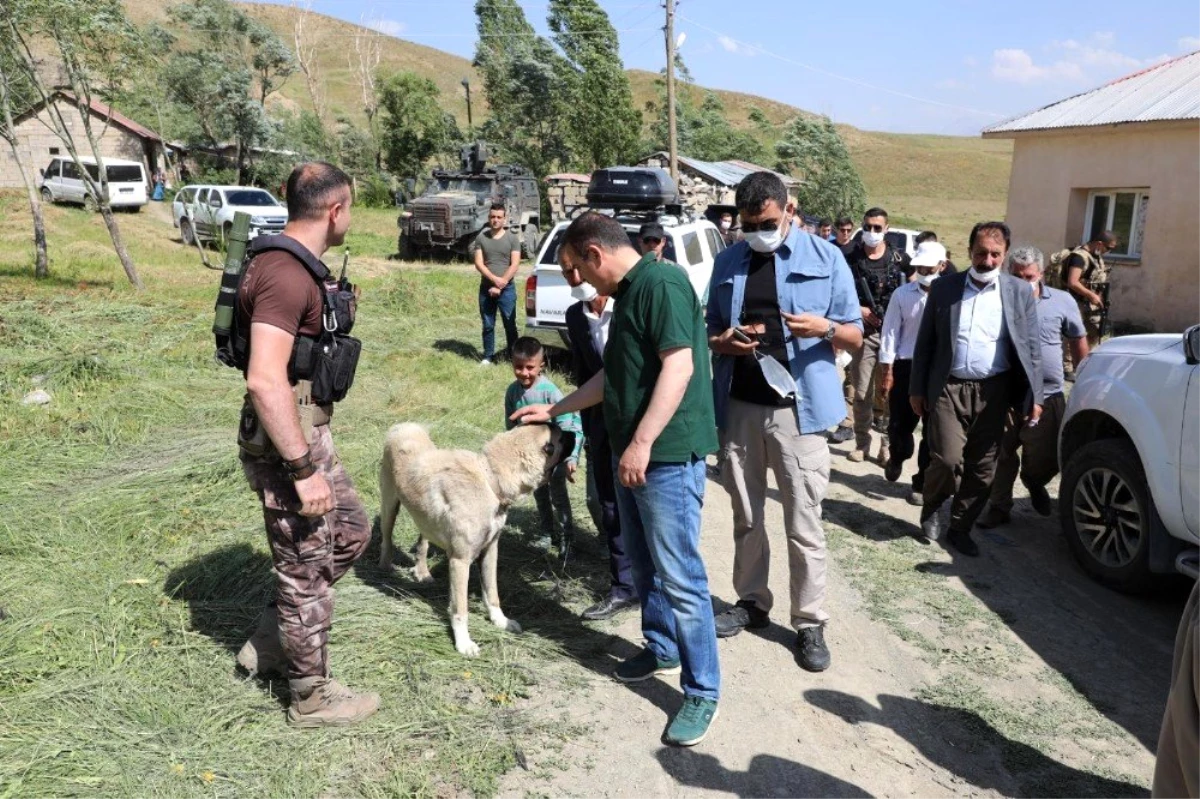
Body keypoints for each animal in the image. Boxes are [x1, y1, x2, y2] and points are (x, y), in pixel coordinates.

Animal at [379, 419, 576, 657]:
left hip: (424, 518)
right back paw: (384, 569)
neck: (489, 480)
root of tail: (404, 426)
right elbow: (460, 609)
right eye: (561, 437)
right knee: (386, 539)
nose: (576, 435)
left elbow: (492, 593)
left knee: (422, 543)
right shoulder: (460, 561)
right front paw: (463, 643)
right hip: (389, 506)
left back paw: (422, 572)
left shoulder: (490, 551)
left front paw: (501, 622)